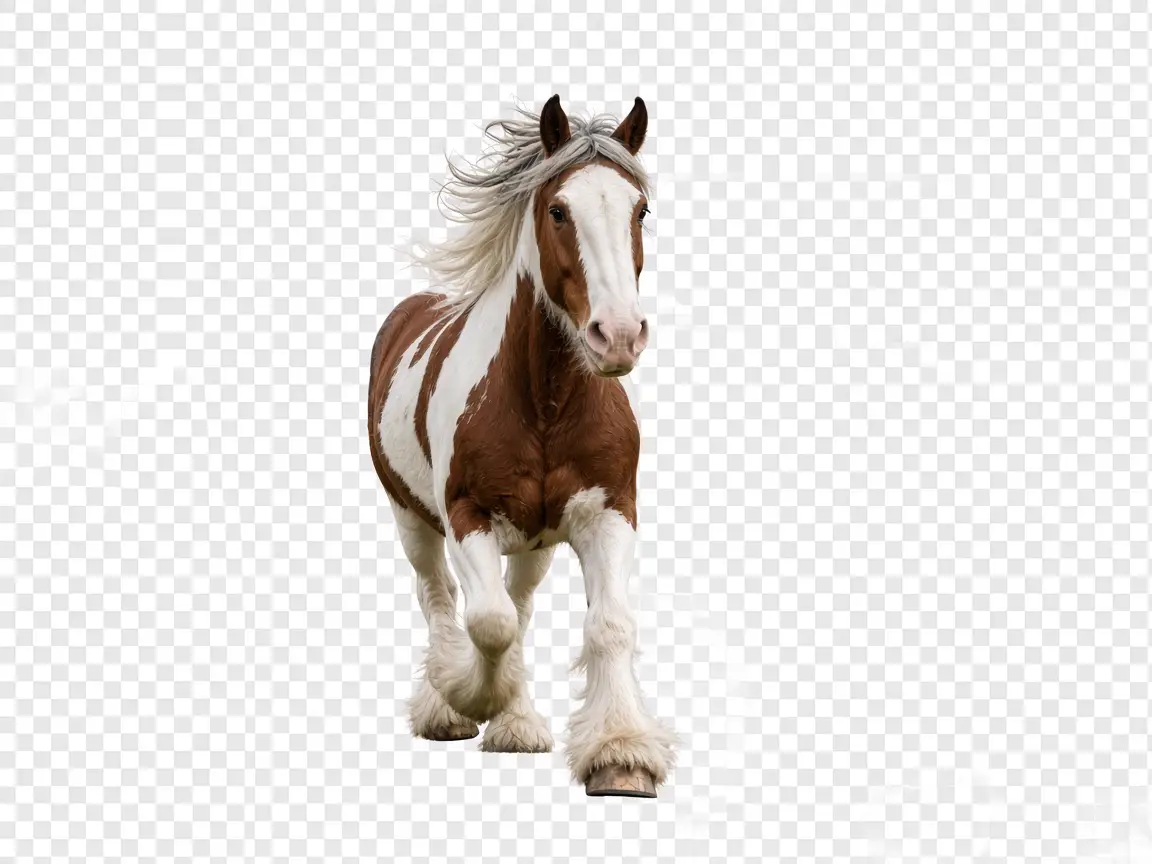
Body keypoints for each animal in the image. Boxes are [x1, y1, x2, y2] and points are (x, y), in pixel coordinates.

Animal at [367, 95, 677, 797]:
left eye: (639, 209)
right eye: (559, 210)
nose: (620, 335)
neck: (545, 402)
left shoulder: (609, 512)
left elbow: (607, 625)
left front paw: (621, 754)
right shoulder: (467, 516)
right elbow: (488, 622)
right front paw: (466, 695)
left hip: (535, 543)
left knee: (522, 603)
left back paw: (515, 720)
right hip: (411, 521)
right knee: (440, 600)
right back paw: (453, 705)